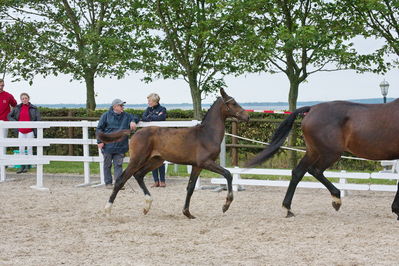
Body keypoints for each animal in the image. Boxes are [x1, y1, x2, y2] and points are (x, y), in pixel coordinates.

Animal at [98, 88, 248, 219]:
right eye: (233, 103)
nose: (247, 116)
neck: (207, 134)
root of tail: (135, 132)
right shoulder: (206, 162)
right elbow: (228, 174)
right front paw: (226, 205)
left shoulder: (197, 166)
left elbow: (190, 188)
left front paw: (187, 213)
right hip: (137, 159)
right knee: (121, 180)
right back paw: (107, 210)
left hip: (155, 160)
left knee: (139, 175)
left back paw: (147, 206)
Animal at [247, 100, 399, 220]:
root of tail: (312, 109)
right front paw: (396, 210)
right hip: (330, 153)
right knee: (315, 170)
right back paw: (336, 200)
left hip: (313, 151)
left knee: (298, 172)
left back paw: (288, 209)